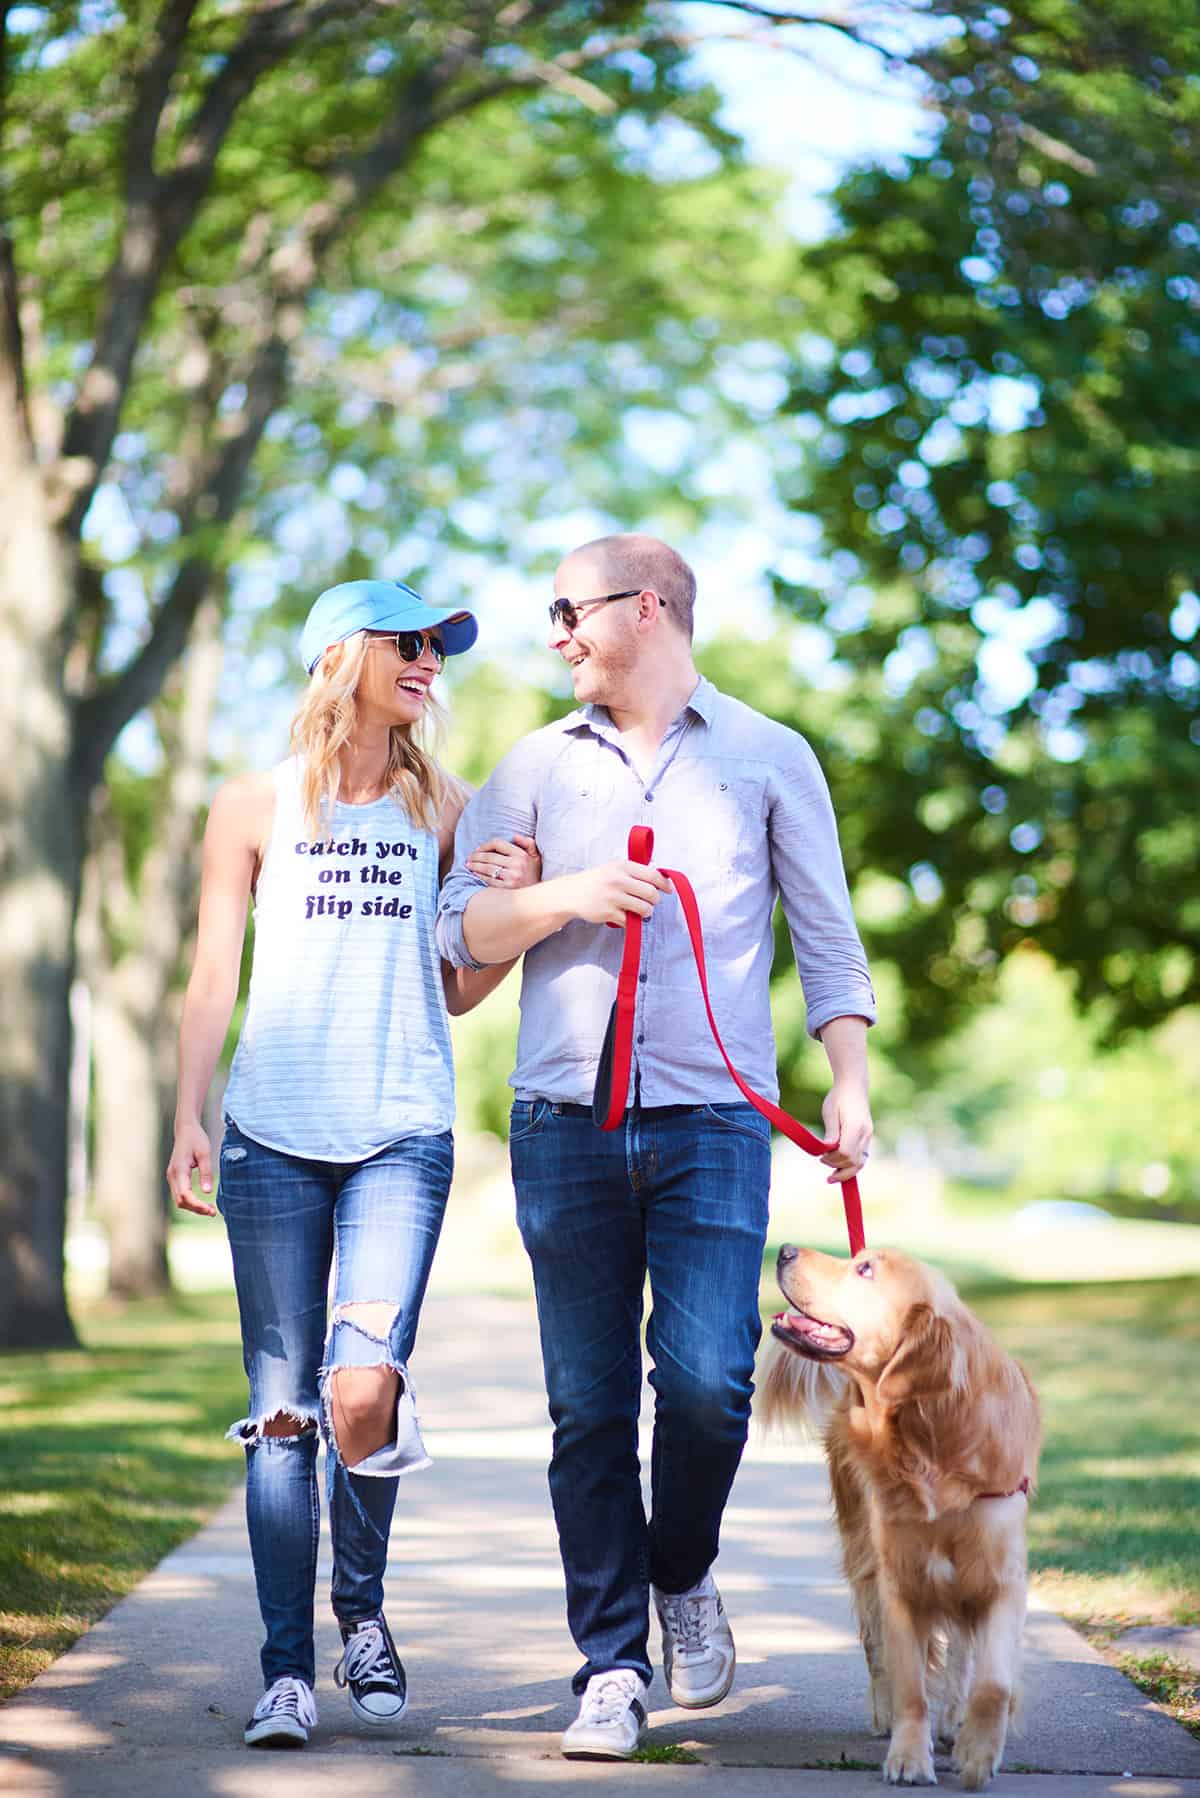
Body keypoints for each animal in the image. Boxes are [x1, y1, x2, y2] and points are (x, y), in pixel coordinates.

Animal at [766, 1244, 1036, 1790]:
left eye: (865, 1269)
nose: (783, 1249)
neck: (930, 1436)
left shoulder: (1002, 1580)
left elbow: (993, 1680)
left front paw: (978, 1751)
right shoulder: (901, 1583)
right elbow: (909, 1680)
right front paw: (909, 1756)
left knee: (962, 1654)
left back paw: (953, 1720)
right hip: (863, 1553)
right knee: (876, 1645)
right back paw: (888, 1714)